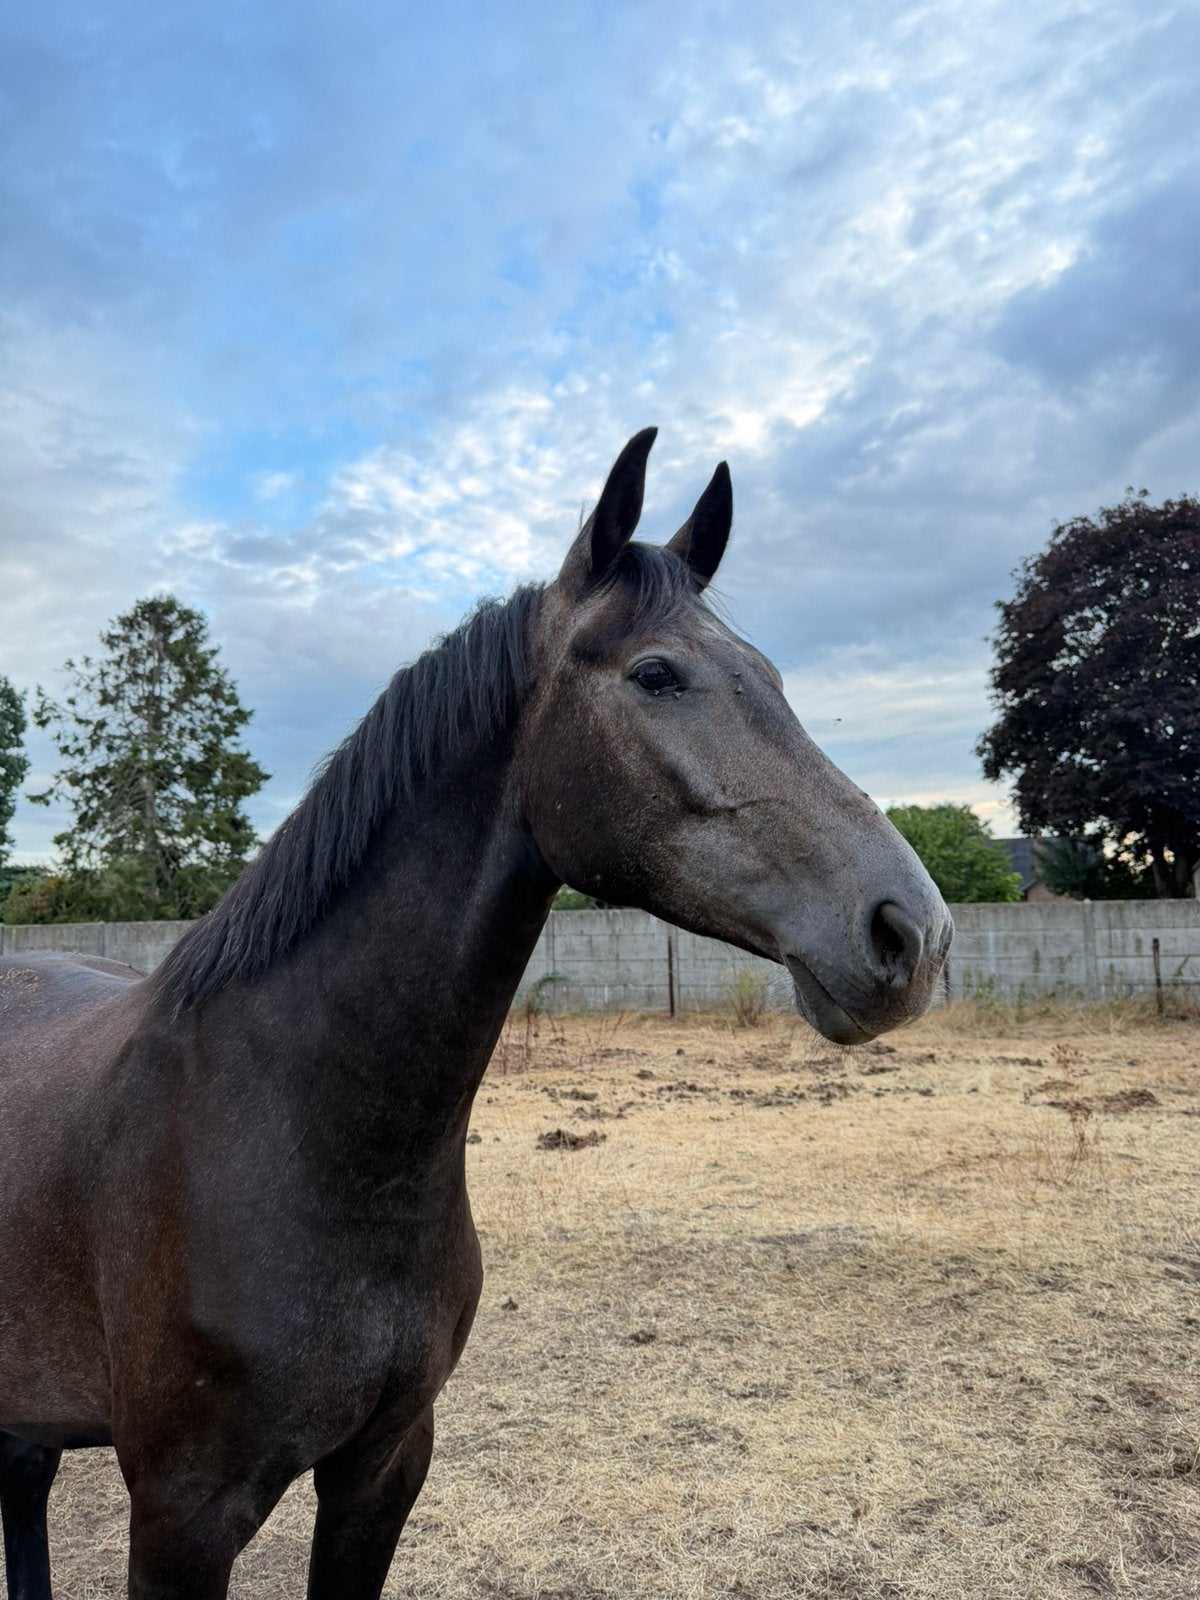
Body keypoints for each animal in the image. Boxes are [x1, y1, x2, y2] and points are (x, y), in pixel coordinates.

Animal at [0, 430, 951, 1598]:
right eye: (657, 674)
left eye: (772, 676)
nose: (911, 931)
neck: (296, 1131)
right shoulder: (181, 1516)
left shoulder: (384, 1468)